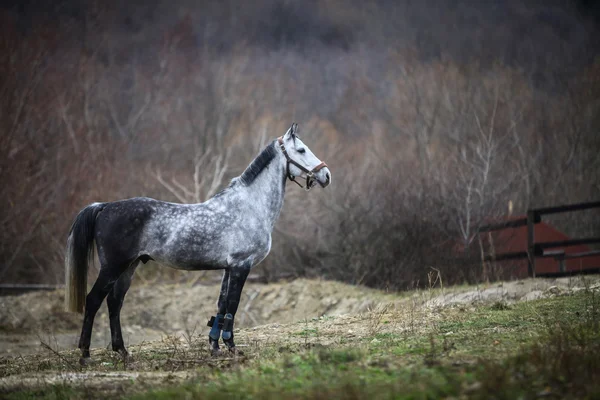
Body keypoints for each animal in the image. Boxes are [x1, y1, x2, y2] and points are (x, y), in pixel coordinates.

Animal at [65, 123, 332, 364]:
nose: (326, 175)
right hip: (113, 267)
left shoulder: (228, 268)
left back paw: (123, 352)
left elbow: (221, 305)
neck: (249, 206)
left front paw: (214, 347)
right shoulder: (241, 266)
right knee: (93, 300)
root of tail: (104, 207)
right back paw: (85, 354)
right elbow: (233, 306)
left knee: (114, 303)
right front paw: (231, 348)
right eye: (301, 150)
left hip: (129, 267)